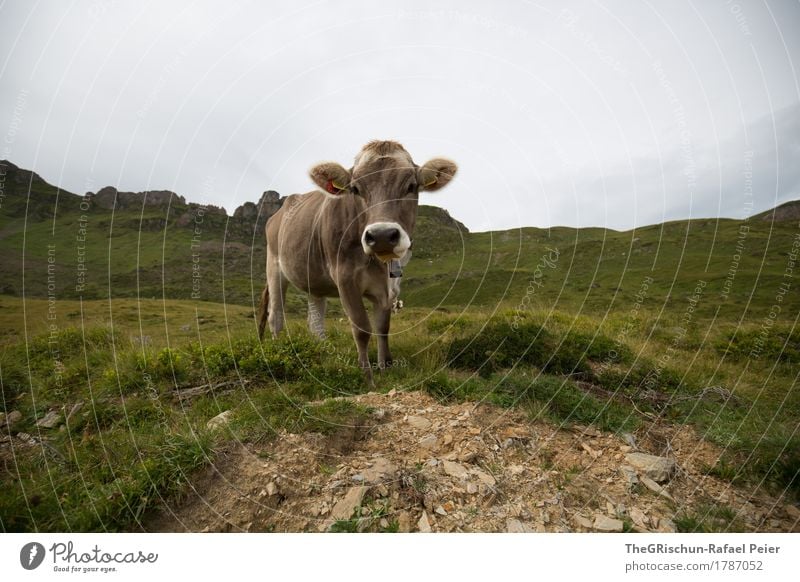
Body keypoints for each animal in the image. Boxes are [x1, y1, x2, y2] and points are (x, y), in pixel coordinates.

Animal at [256, 140, 456, 388]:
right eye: (355, 189)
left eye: (411, 186)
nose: (381, 235)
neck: (378, 264)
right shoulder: (345, 278)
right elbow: (361, 329)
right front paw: (368, 378)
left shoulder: (389, 287)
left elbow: (382, 327)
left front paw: (385, 368)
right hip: (274, 266)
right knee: (275, 316)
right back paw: (276, 350)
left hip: (314, 280)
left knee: (315, 322)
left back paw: (322, 355)